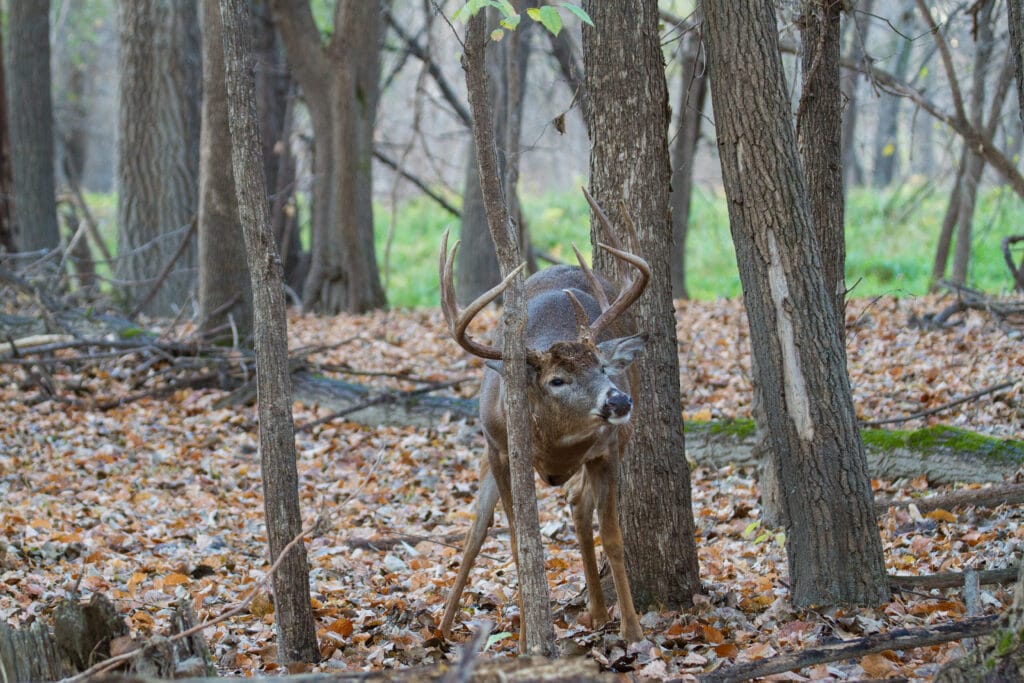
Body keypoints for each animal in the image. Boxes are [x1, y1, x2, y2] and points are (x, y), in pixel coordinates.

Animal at [438, 192, 647, 647]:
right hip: (488, 452)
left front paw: (634, 631)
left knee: (577, 503)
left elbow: (614, 538)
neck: (555, 442)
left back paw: (598, 611)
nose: (619, 400)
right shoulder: (501, 450)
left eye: (602, 366)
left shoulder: (607, 449)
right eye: (557, 380)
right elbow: (521, 544)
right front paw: (526, 640)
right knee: (476, 531)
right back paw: (441, 629)